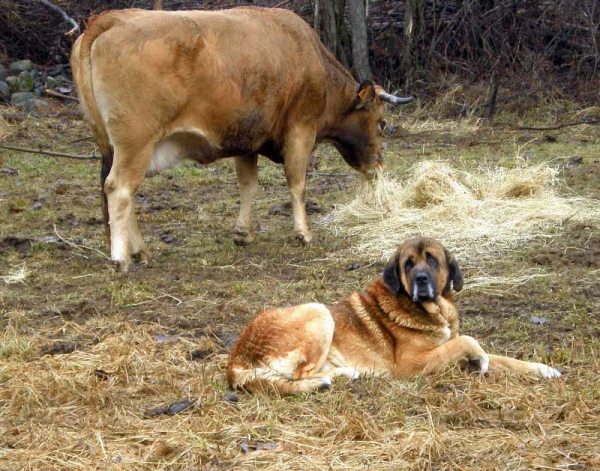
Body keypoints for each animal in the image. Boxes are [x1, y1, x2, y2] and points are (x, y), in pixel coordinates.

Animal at [69, 6, 408, 272]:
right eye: (382, 123)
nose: (379, 167)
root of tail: (111, 19)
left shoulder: (248, 140)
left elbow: (248, 186)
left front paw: (244, 232)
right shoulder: (301, 131)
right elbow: (297, 184)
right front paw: (303, 233)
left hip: (115, 148)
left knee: (121, 194)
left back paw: (140, 251)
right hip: (136, 144)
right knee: (119, 189)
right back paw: (122, 258)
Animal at [226, 238, 564, 396]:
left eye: (432, 260)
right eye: (408, 263)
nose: (421, 280)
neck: (431, 309)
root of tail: (235, 360)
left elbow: (504, 359)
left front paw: (542, 369)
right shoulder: (412, 364)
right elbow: (470, 342)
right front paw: (478, 360)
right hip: (318, 311)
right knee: (299, 376)